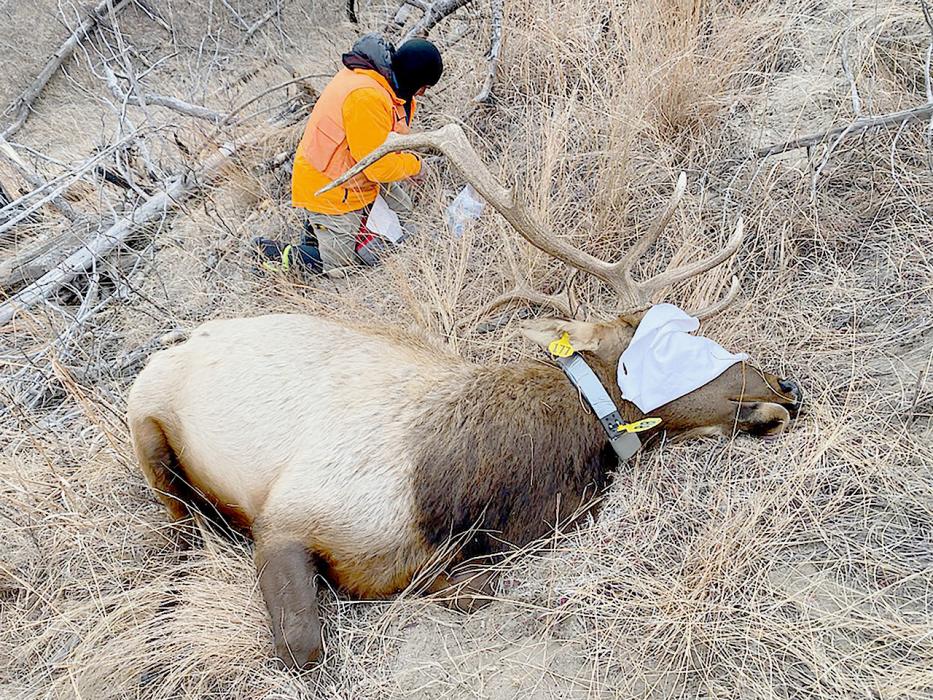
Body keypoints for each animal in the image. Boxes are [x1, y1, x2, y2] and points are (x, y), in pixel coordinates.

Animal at [127, 124, 803, 670]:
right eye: (654, 351)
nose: (782, 390)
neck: (461, 496)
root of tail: (175, 343)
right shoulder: (285, 520)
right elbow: (303, 647)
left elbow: (467, 587)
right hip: (146, 427)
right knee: (182, 523)